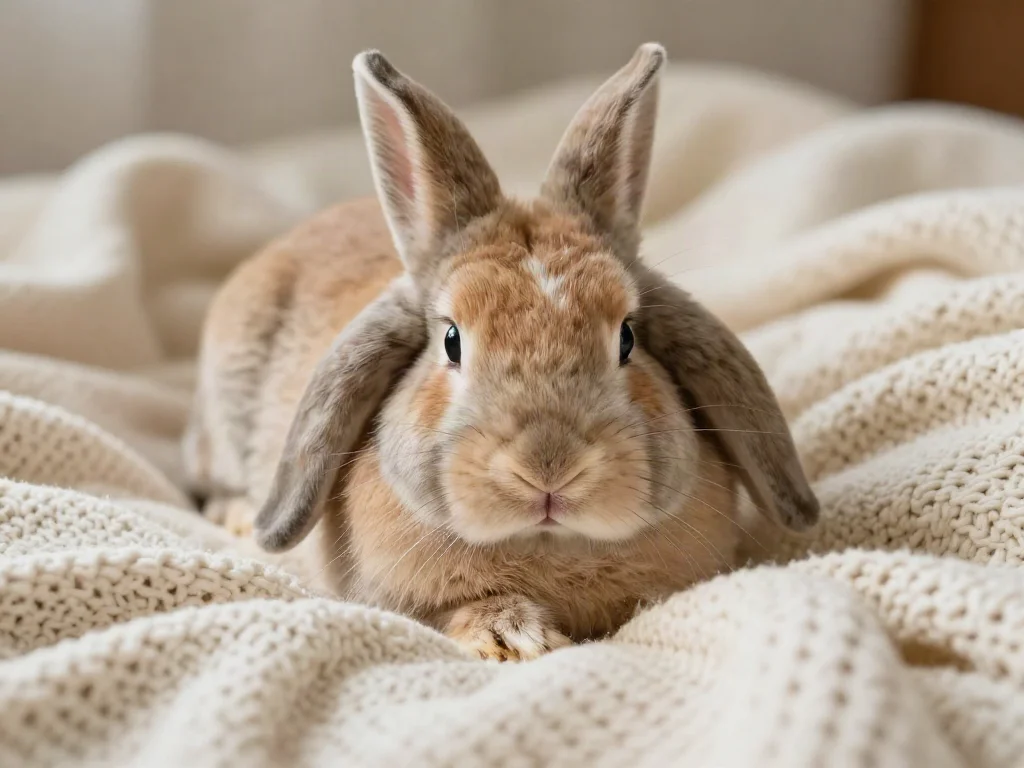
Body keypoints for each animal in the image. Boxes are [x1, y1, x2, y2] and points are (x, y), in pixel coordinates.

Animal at [183, 43, 819, 662]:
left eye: (627, 338)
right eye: (452, 340)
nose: (548, 467)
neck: (549, 547)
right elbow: (457, 611)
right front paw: (515, 640)